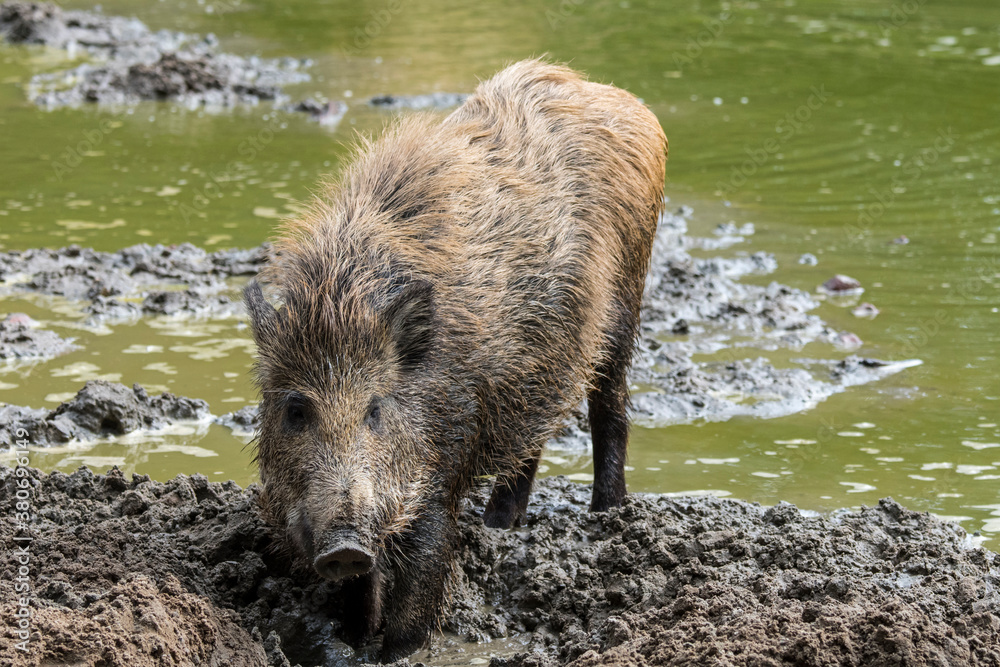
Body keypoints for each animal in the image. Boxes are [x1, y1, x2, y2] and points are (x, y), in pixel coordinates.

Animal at [244, 59, 667, 661]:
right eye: (295, 410)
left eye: (375, 409)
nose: (343, 544)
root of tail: (621, 99)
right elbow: (359, 590)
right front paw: (352, 641)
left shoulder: (444, 453)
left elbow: (423, 567)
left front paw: (398, 651)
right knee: (530, 438)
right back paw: (499, 525)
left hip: (627, 301)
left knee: (609, 405)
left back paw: (605, 515)